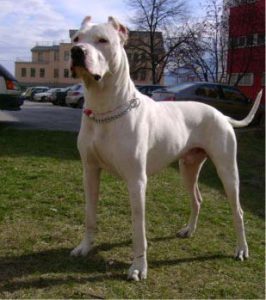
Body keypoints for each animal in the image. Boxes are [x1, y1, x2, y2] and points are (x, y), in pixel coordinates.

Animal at [68, 15, 262, 280]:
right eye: (76, 39)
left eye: (103, 40)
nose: (76, 51)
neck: (104, 111)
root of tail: (221, 115)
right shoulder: (89, 171)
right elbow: (89, 214)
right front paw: (85, 247)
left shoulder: (137, 181)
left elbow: (138, 229)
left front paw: (138, 267)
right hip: (188, 168)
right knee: (197, 199)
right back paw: (189, 230)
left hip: (227, 172)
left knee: (238, 211)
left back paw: (241, 249)